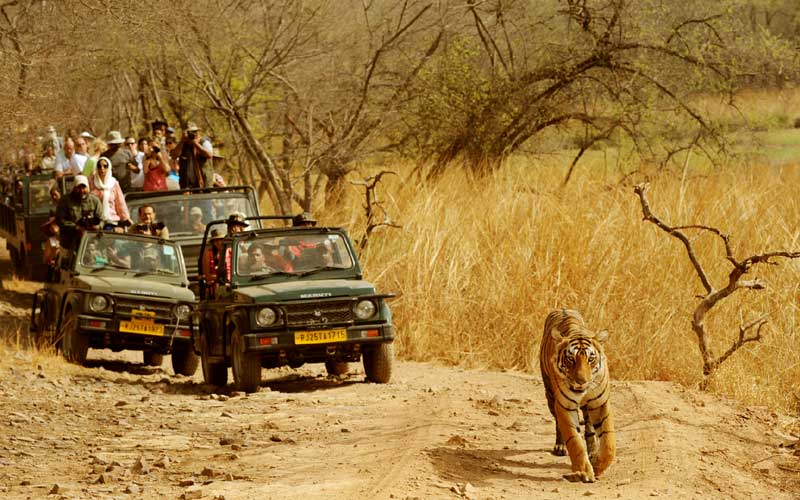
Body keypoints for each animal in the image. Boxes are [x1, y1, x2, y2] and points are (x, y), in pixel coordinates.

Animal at [539, 308, 615, 483]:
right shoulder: (565, 406)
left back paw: (593, 452)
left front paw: (598, 465)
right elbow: (575, 441)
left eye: (591, 359)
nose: (582, 381)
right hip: (550, 395)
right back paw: (560, 447)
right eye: (570, 359)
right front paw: (584, 472)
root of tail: (562, 308)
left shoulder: (600, 403)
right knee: (558, 424)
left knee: (589, 428)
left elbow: (608, 442)